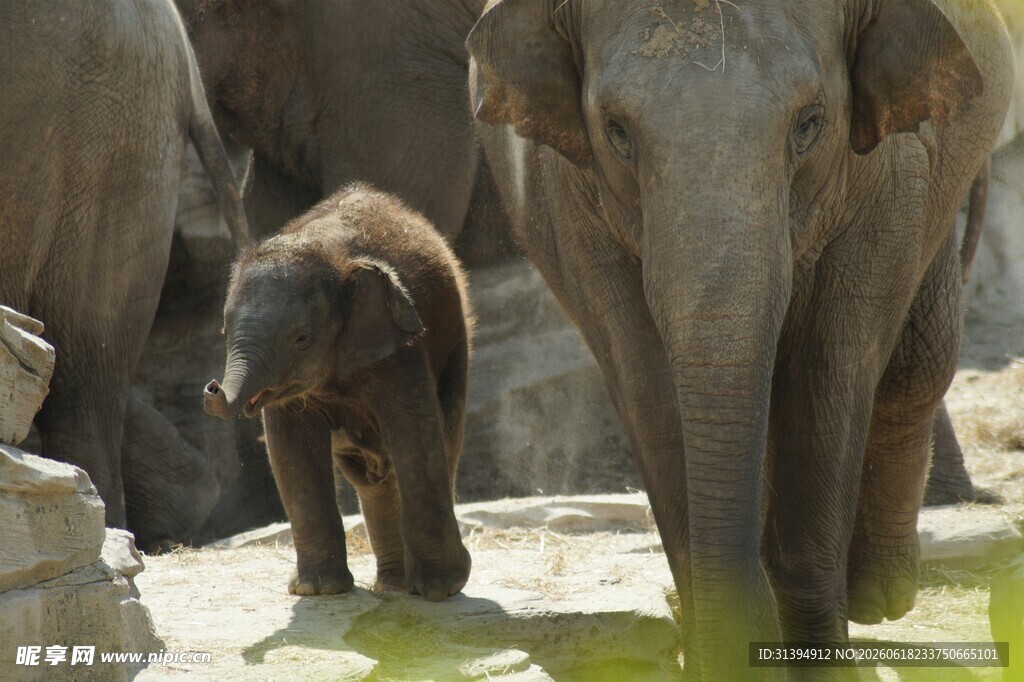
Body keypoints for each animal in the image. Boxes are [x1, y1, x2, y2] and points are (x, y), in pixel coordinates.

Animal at [203, 185, 472, 601]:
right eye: (224, 332)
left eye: (301, 339)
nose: (212, 387)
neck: (325, 249)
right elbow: (292, 453)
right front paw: (316, 590)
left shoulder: (400, 349)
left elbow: (414, 434)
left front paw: (440, 590)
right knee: (371, 481)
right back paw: (392, 587)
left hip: (456, 345)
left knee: (442, 443)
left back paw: (410, 588)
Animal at [466, 0, 1012, 678]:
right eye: (616, 130)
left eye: (809, 123)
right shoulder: (568, 191)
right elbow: (644, 378)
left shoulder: (889, 171)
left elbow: (833, 365)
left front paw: (819, 663)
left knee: (919, 359)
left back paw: (881, 596)